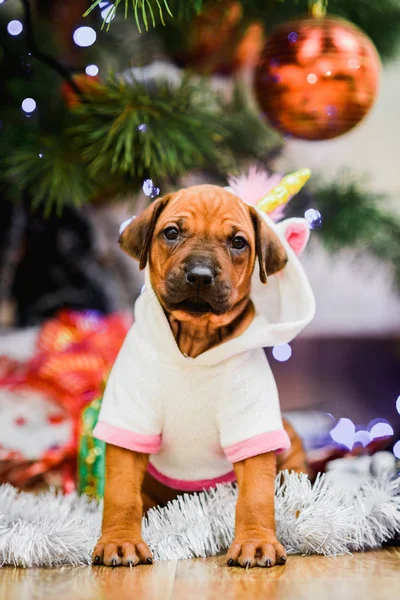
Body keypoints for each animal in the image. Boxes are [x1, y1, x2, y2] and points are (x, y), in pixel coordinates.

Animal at [93, 185, 312, 568]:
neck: (195, 339)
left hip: (289, 442)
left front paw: (256, 542)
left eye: (238, 242)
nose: (199, 275)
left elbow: (256, 495)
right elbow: (121, 492)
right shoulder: (130, 418)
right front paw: (119, 540)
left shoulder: (252, 423)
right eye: (171, 232)